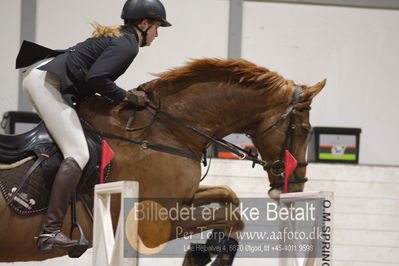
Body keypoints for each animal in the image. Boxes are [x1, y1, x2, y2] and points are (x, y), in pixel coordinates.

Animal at [0, 58, 324, 262]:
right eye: (305, 129)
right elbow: (232, 215)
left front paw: (208, 249)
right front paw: (208, 255)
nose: (297, 186)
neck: (169, 131)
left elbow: (229, 197)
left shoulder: (184, 199)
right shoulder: (157, 221)